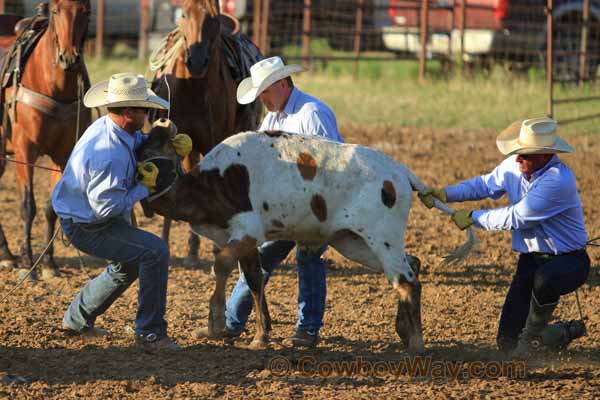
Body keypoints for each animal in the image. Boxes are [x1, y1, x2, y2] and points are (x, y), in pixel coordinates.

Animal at [0, 0, 91, 278]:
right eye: (56, 10)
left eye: (86, 11)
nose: (69, 58)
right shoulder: (24, 152)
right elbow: (27, 206)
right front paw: (28, 262)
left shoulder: (65, 154)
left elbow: (52, 207)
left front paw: (49, 263)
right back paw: (9, 255)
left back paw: (6, 253)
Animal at [150, 0, 260, 266]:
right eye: (184, 14)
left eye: (213, 19)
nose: (197, 62)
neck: (193, 88)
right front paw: (185, 249)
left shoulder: (214, 141)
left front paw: (213, 247)